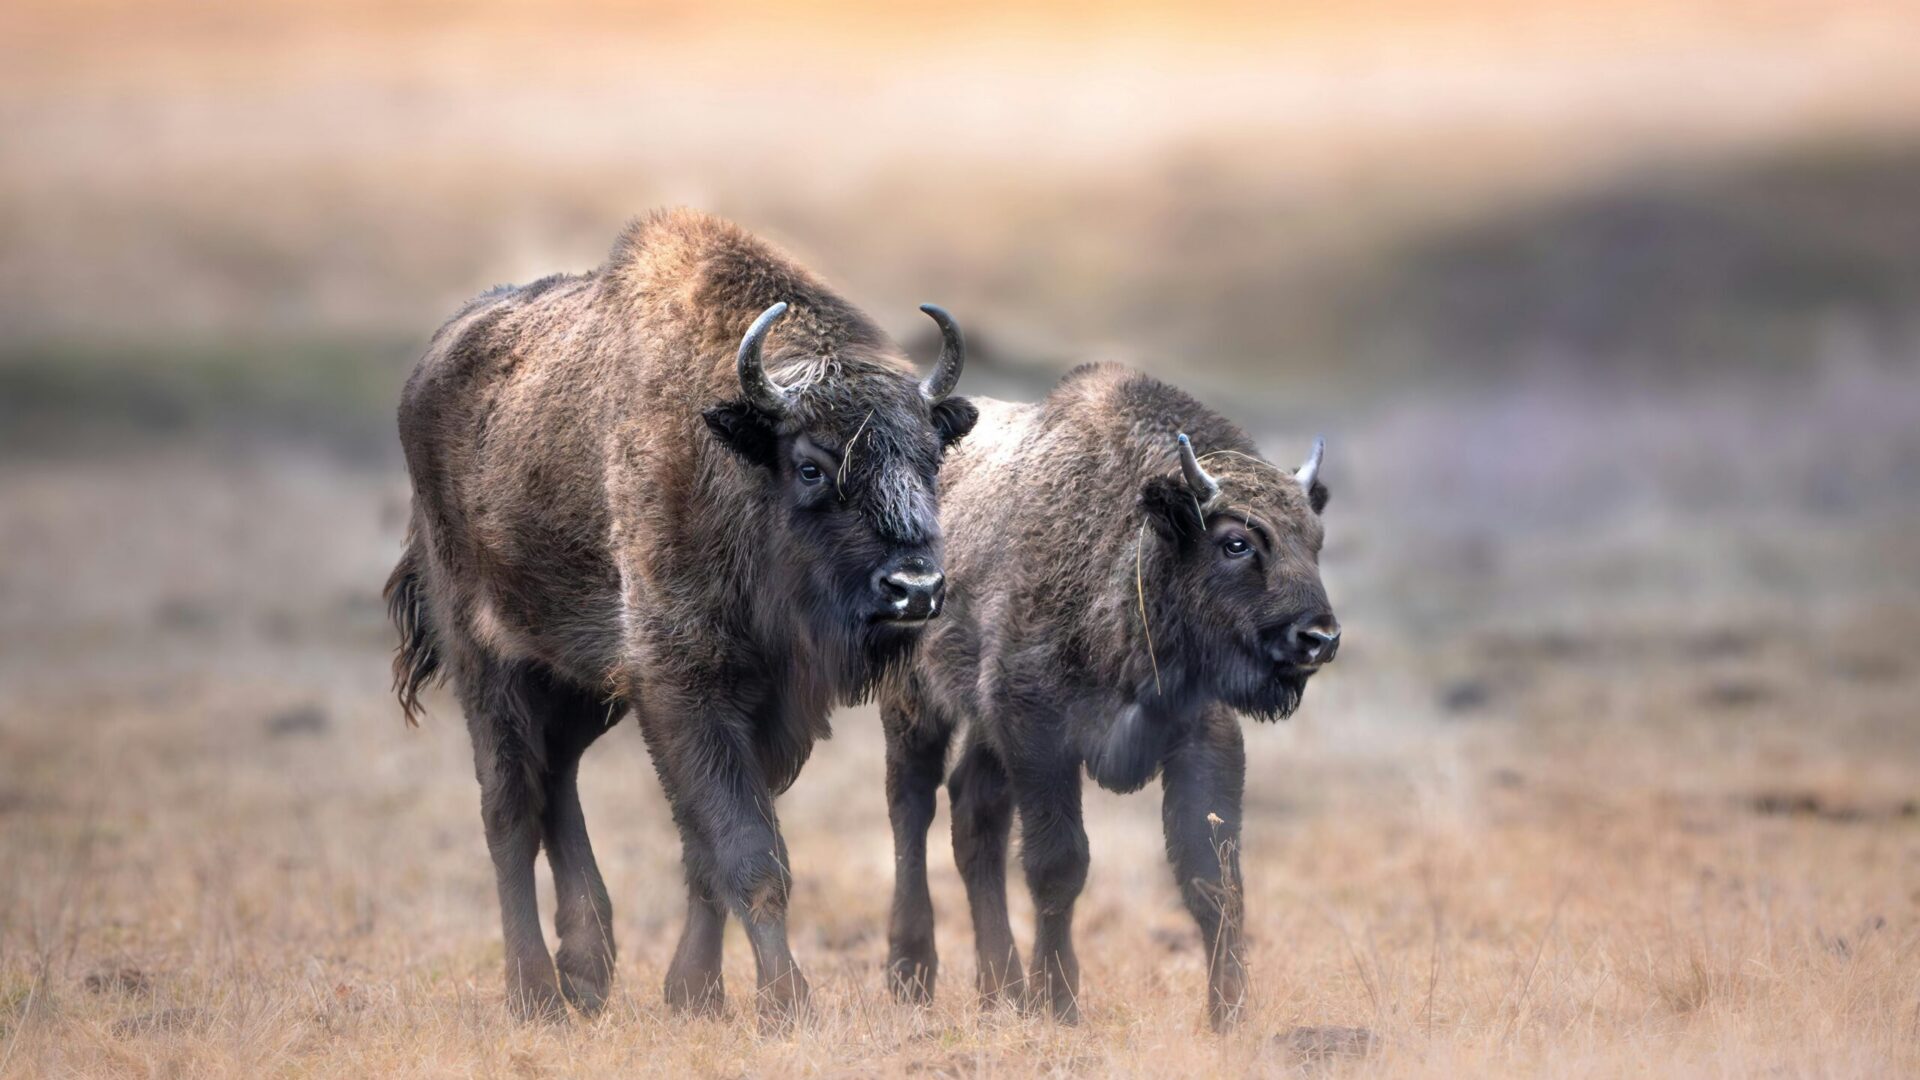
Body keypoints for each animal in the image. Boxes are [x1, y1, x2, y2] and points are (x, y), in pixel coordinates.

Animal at [386, 210, 976, 1026]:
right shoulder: (684, 688)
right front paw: (786, 1004)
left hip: (583, 682)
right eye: (812, 465)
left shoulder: (759, 710)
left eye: (930, 461)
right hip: (486, 657)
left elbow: (707, 853)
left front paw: (694, 995)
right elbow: (749, 852)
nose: (914, 588)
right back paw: (535, 994)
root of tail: (430, 368)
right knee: (509, 805)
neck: (733, 461)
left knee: (555, 777)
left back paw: (586, 973)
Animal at [880, 362, 1337, 1029]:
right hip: (914, 704)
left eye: (1315, 539)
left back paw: (1000, 989)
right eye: (1236, 542)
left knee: (973, 816)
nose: (1319, 637)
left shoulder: (1202, 737)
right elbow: (1059, 865)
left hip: (984, 728)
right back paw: (910, 976)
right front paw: (1059, 1003)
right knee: (912, 807)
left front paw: (1228, 1015)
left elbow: (1212, 876)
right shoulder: (1039, 733)